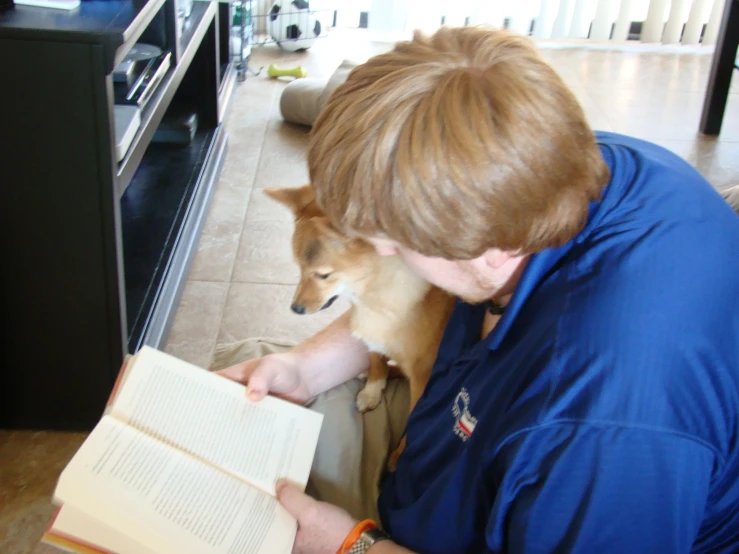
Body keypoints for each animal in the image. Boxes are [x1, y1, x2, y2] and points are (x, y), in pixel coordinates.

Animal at [264, 184, 454, 466]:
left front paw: (400, 454)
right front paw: (373, 388)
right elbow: (375, 357)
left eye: (323, 275)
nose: (295, 309)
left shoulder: (424, 374)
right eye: (298, 267)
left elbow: (414, 417)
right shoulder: (370, 328)